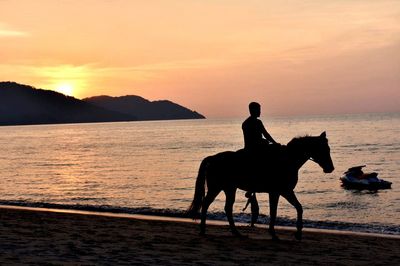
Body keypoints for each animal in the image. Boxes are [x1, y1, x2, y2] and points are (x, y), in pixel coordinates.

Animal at [188, 132, 334, 240]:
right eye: (324, 149)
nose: (330, 168)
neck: (288, 160)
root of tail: (213, 158)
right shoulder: (282, 191)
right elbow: (276, 212)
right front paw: (276, 234)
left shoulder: (282, 192)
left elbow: (298, 208)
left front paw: (296, 233)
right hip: (216, 187)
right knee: (207, 204)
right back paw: (204, 230)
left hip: (229, 189)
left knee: (225, 208)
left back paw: (235, 233)